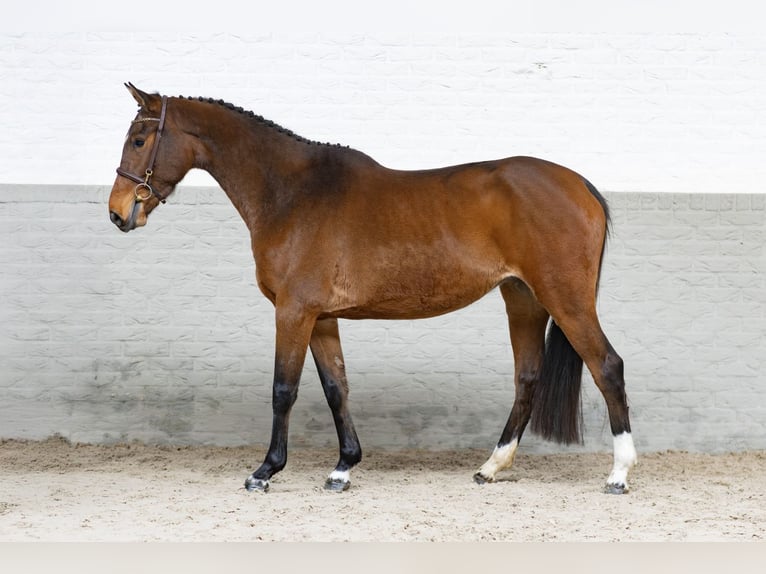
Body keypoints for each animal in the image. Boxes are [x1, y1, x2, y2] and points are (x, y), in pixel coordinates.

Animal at [106, 83, 636, 498]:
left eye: (139, 139)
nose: (117, 212)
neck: (292, 193)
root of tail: (580, 184)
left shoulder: (293, 312)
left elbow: (283, 389)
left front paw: (265, 471)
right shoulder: (321, 318)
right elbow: (335, 388)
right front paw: (343, 468)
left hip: (564, 299)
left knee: (607, 366)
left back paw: (618, 474)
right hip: (522, 298)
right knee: (527, 378)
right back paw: (490, 467)